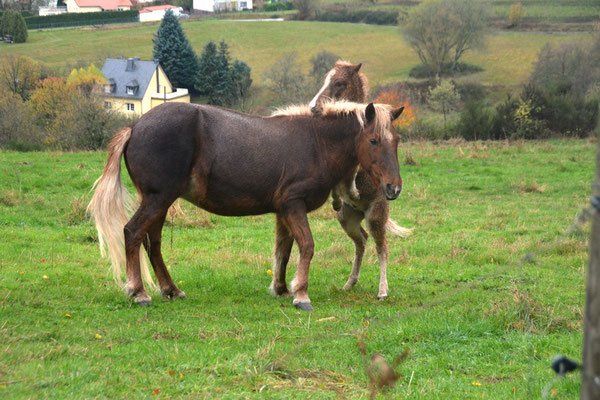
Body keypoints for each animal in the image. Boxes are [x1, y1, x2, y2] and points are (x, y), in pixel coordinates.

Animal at [88, 101, 404, 312]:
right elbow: (307, 245)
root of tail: (134, 126)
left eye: (397, 140)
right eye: (373, 140)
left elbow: (284, 249)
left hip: (160, 201)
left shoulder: (284, 210)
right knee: (132, 232)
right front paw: (301, 293)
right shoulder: (293, 205)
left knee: (153, 244)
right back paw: (138, 291)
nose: (394, 187)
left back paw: (171, 289)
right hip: (157, 198)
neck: (317, 143)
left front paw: (281, 288)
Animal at [310, 61, 412, 298]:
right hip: (347, 220)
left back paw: (382, 290)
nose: (313, 107)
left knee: (382, 247)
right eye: (324, 79)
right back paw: (350, 282)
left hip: (375, 215)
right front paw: (335, 198)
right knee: (362, 241)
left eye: (340, 82)